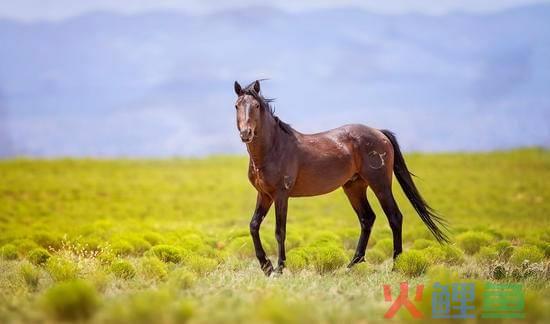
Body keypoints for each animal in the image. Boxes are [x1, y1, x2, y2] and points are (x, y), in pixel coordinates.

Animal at [233, 79, 448, 274]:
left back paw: (397, 265)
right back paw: (353, 263)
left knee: (394, 217)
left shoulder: (281, 195)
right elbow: (253, 226)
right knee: (367, 218)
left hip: (380, 184)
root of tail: (379, 133)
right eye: (236, 105)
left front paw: (278, 268)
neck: (274, 148)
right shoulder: (264, 195)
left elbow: (280, 231)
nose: (246, 133)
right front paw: (266, 266)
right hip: (354, 187)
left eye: (256, 106)